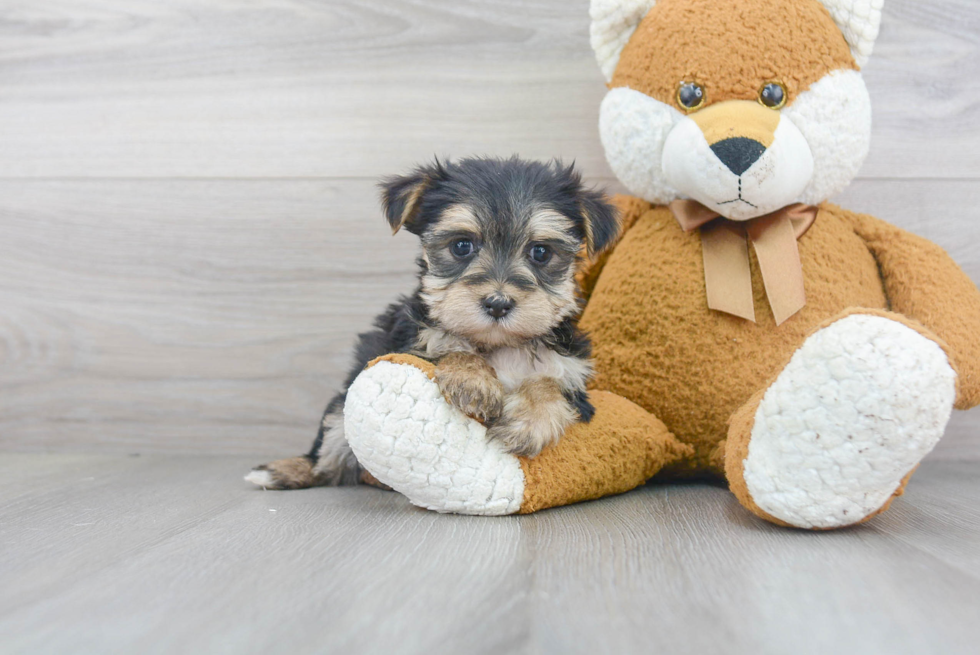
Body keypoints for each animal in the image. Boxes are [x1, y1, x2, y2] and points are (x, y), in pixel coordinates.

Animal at [247, 156, 612, 490]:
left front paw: (528, 422)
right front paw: (473, 380)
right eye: (462, 246)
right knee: (329, 456)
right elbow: (445, 345)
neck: (498, 344)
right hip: (341, 413)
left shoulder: (573, 375)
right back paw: (288, 470)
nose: (497, 304)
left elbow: (548, 383)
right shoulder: (403, 342)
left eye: (541, 252)